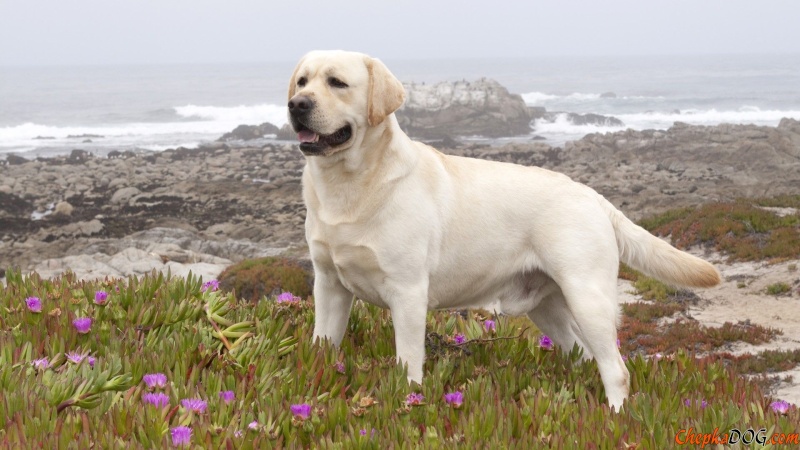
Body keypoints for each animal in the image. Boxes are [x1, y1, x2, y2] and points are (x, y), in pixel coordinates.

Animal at [286, 51, 720, 410]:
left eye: (337, 82)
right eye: (303, 81)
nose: (296, 104)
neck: (349, 186)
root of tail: (595, 197)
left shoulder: (407, 293)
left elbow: (408, 362)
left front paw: (409, 398)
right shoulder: (329, 285)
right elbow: (323, 344)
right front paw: (316, 379)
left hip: (588, 297)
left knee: (617, 368)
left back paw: (615, 418)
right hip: (548, 307)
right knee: (583, 354)